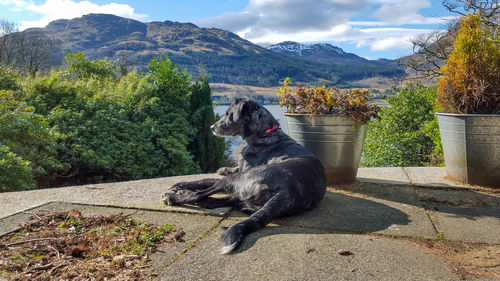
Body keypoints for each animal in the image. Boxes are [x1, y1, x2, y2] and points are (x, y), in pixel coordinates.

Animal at [162, 97, 326, 253]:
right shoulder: (240, 171)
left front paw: (180, 185)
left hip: (241, 179)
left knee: (199, 195)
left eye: (228, 114)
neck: (264, 134)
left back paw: (174, 196)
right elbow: (219, 174)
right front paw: (222, 169)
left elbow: (205, 179)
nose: (212, 127)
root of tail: (288, 193)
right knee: (213, 201)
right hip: (246, 196)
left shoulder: (242, 172)